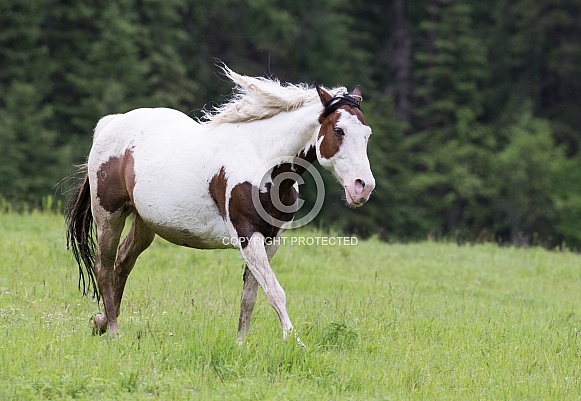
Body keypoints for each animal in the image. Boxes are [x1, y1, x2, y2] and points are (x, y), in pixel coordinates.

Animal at [65, 67, 374, 342]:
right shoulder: (248, 235)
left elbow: (251, 295)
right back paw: (113, 331)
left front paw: (241, 344)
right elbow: (275, 291)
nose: (363, 186)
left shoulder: (270, 240)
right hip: (109, 215)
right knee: (104, 268)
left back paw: (101, 321)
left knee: (123, 263)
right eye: (339, 130)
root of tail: (111, 124)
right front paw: (293, 341)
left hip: (145, 223)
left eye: (367, 134)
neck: (261, 157)